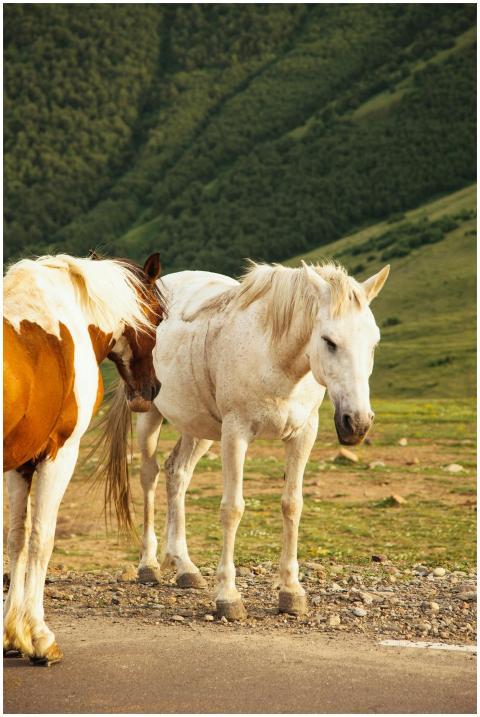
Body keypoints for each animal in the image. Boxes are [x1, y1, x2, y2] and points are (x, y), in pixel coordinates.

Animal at [3, 252, 166, 664]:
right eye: (159, 317)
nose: (151, 389)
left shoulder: (20, 462)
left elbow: (17, 540)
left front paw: (12, 635)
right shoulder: (59, 455)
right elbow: (41, 539)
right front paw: (39, 638)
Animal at [101, 260, 389, 621]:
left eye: (374, 343)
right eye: (329, 341)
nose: (358, 423)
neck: (275, 357)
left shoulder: (303, 435)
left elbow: (292, 505)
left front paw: (291, 592)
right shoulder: (236, 433)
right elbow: (232, 509)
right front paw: (228, 596)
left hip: (199, 429)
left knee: (177, 474)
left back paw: (185, 568)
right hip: (149, 415)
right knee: (149, 476)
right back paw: (149, 565)